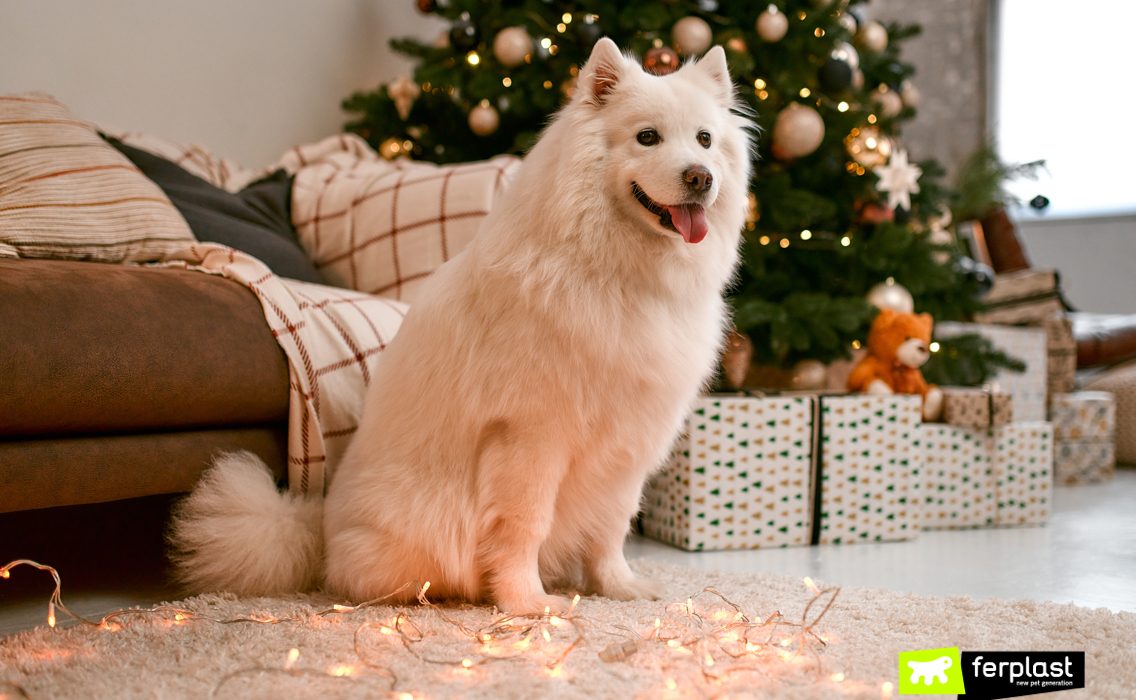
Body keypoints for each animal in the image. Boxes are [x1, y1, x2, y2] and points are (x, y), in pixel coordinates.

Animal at [172, 38, 754, 613]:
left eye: (704, 139)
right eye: (647, 137)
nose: (700, 177)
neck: (619, 275)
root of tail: (320, 532)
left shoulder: (629, 443)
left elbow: (611, 527)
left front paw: (618, 588)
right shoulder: (531, 438)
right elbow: (523, 526)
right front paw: (528, 603)